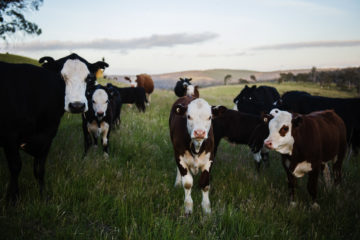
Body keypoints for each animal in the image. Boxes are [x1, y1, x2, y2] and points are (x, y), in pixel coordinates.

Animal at [0, 53, 108, 202]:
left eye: (89, 78)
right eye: (60, 77)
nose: (77, 106)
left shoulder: (47, 137)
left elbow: (39, 169)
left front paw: (43, 196)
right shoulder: (9, 136)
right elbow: (16, 167)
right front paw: (13, 199)